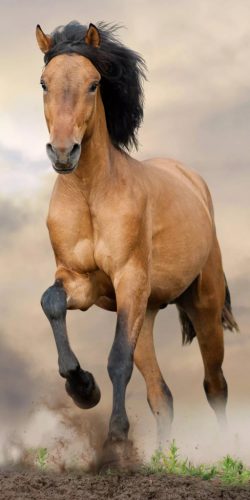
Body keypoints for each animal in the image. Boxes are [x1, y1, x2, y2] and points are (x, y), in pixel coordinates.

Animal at [36, 21, 238, 448]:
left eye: (94, 83)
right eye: (44, 83)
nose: (63, 153)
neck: (91, 194)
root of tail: (191, 179)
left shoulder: (128, 278)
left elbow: (117, 360)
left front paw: (116, 434)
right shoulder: (81, 282)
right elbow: (52, 303)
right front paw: (82, 388)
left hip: (204, 305)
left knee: (215, 385)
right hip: (145, 311)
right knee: (162, 395)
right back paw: (161, 458)